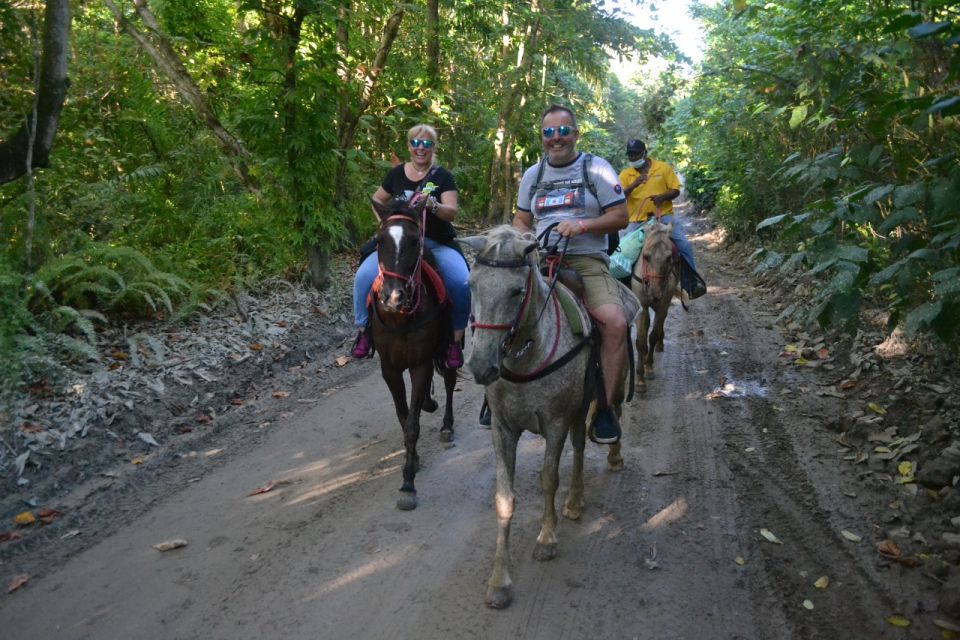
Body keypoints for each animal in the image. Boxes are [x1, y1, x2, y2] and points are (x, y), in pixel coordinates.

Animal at [370, 198, 456, 512]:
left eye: (415, 240)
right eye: (379, 241)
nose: (393, 297)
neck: (400, 318)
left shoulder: (420, 364)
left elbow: (412, 426)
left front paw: (408, 484)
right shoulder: (390, 368)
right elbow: (403, 415)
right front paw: (413, 460)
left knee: (450, 380)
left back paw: (447, 426)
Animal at [460, 225, 636, 608]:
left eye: (516, 291)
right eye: (471, 284)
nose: (481, 367)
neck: (528, 354)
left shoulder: (555, 423)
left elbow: (549, 479)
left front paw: (546, 540)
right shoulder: (503, 429)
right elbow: (504, 497)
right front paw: (500, 581)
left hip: (601, 394)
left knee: (600, 426)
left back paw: (593, 479)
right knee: (580, 443)